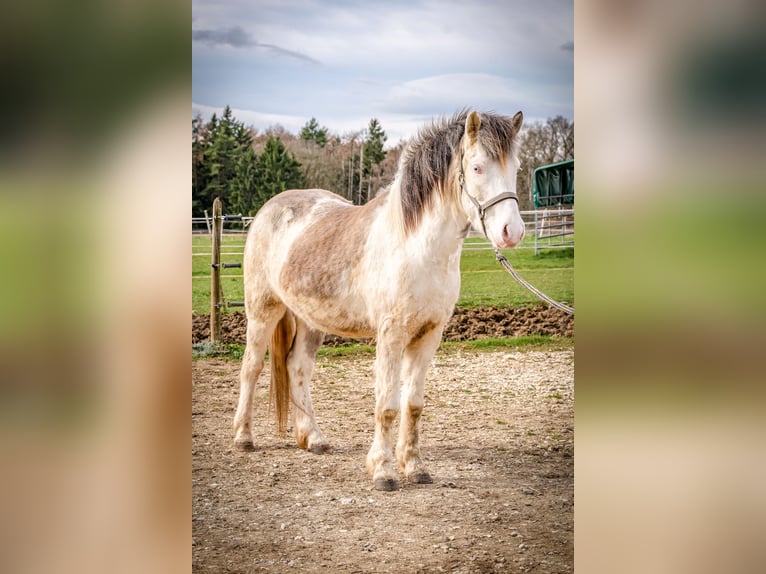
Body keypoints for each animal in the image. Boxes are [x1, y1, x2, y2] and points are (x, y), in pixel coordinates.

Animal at [233, 109, 525, 491]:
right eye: (477, 167)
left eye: (516, 167)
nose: (512, 232)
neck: (416, 246)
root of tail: (269, 208)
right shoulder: (392, 334)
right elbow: (387, 404)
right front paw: (384, 472)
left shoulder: (430, 335)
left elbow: (413, 405)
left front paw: (415, 467)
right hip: (262, 310)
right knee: (251, 367)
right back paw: (243, 437)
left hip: (311, 320)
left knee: (298, 367)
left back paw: (314, 438)